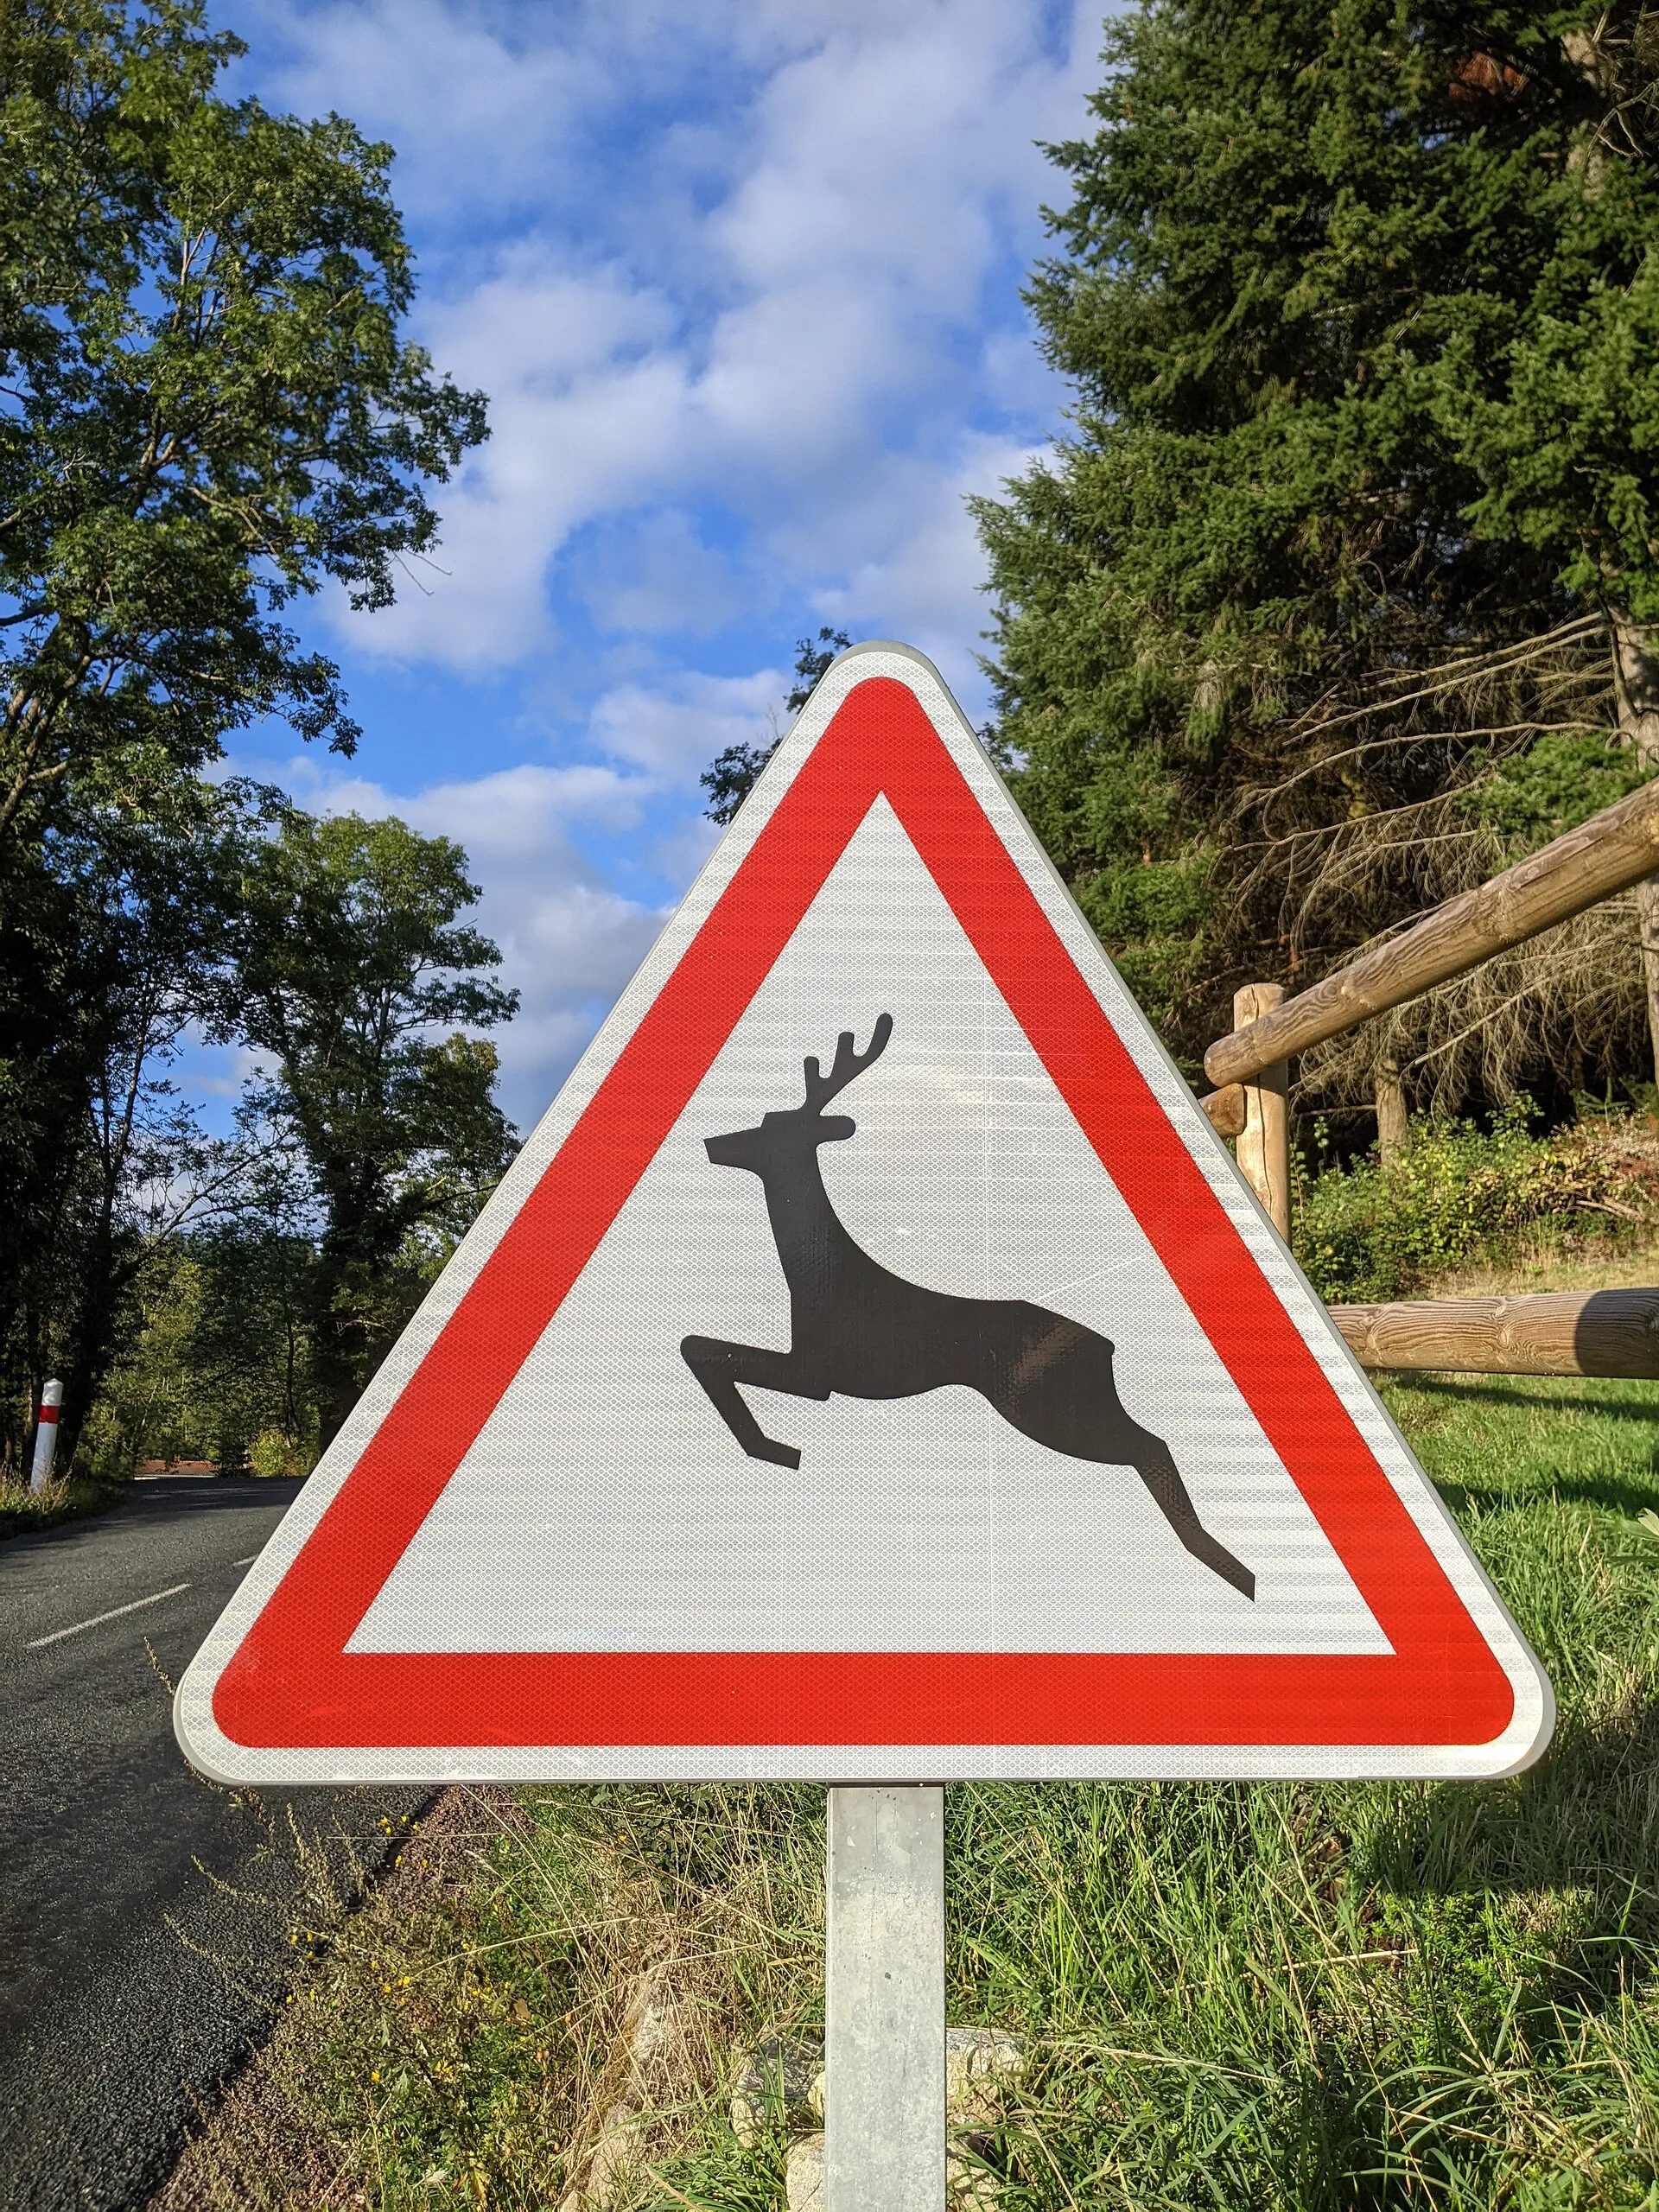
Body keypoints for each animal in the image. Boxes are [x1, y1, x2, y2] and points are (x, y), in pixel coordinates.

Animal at [681, 1015, 1255, 1601]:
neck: (817, 1275)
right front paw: (776, 1447)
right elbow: (701, 1348)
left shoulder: (821, 1369)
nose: (712, 1142)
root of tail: (1108, 1347)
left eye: (770, 1130)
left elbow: (702, 1351)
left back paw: (1229, 1568)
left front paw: (775, 1447)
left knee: (1151, 1445)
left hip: (1046, 1403)